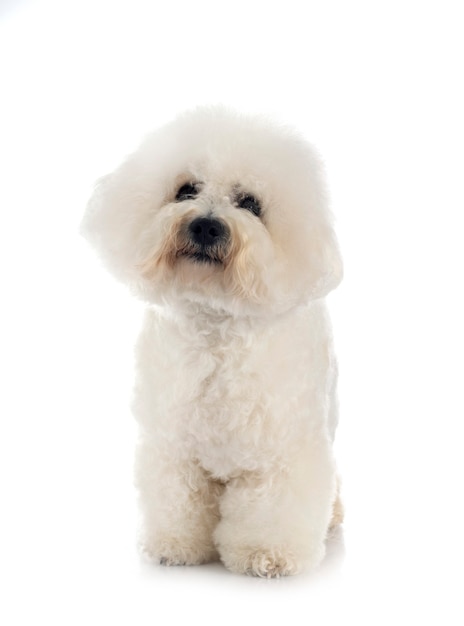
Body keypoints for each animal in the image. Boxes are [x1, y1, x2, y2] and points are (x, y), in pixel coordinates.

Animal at [81, 106, 344, 576]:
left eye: (251, 203)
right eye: (186, 189)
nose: (205, 226)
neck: (217, 329)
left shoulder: (281, 455)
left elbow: (273, 509)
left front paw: (265, 554)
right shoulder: (172, 449)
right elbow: (177, 501)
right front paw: (175, 545)